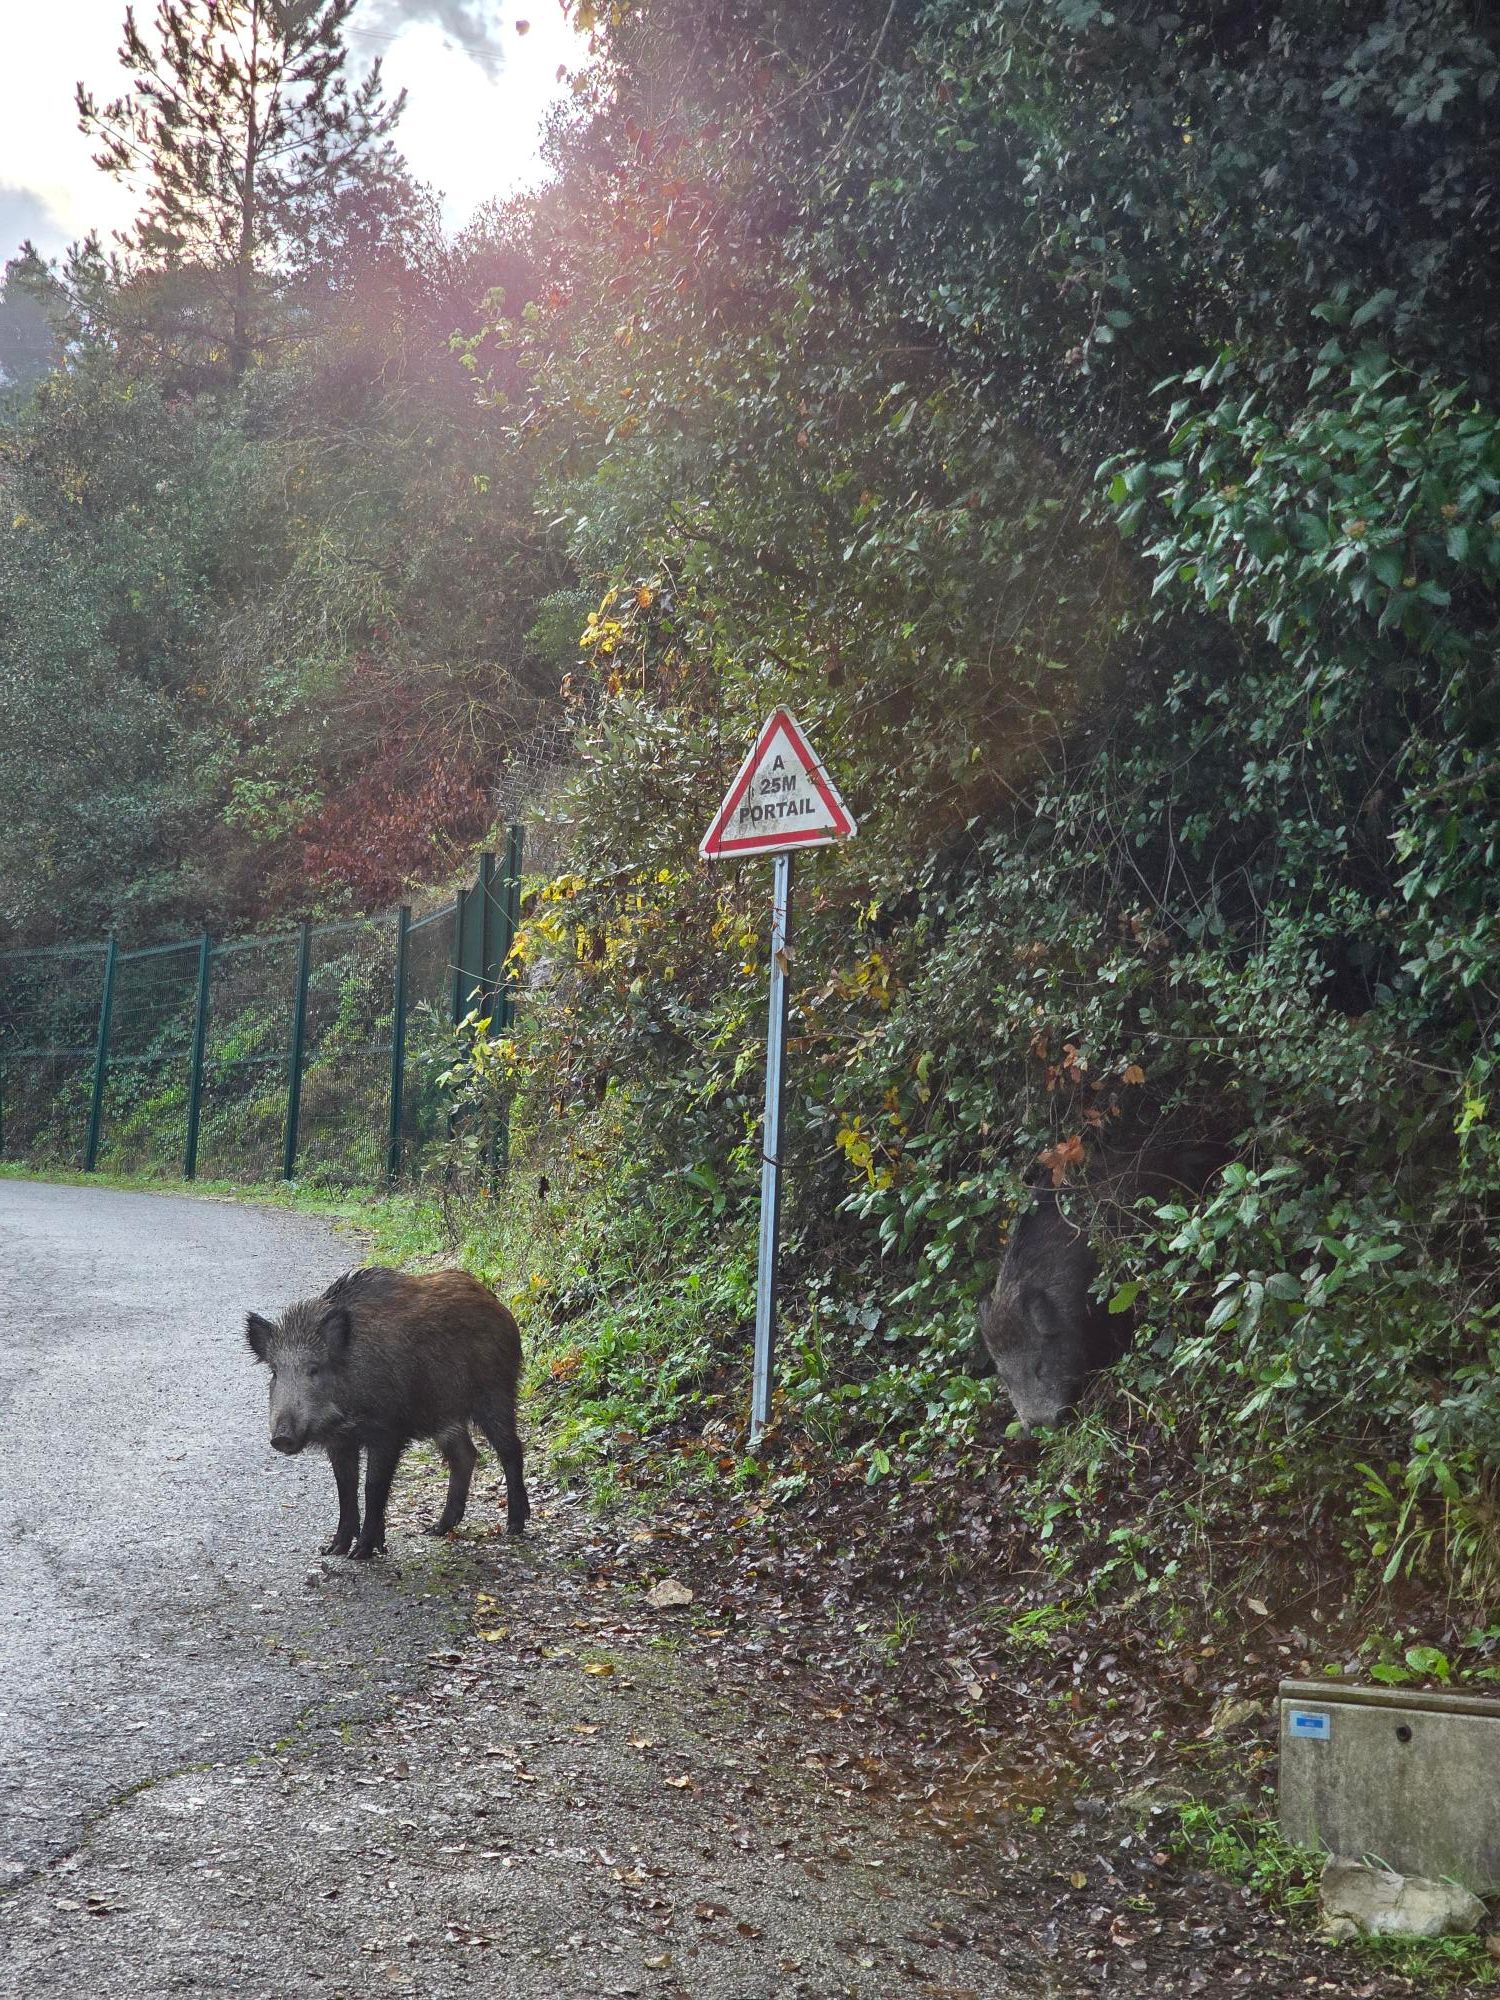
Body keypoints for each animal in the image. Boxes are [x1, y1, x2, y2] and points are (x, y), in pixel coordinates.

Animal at [244, 1266, 529, 1558]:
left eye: (314, 1369)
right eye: (275, 1372)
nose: (281, 1437)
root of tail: (496, 1303)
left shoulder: (388, 1432)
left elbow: (373, 1486)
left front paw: (361, 1552)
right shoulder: (341, 1441)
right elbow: (345, 1487)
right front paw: (333, 1549)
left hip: (495, 1393)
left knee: (511, 1449)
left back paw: (514, 1525)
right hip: (443, 1413)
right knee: (465, 1454)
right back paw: (436, 1529)